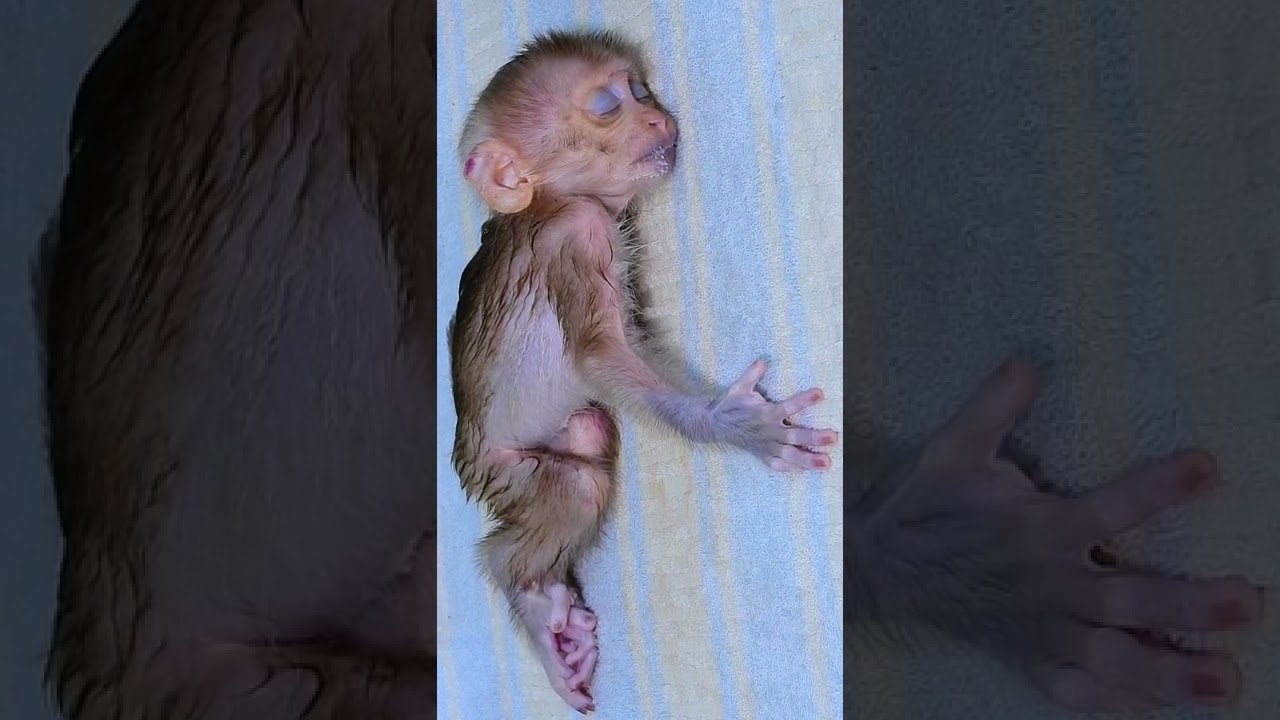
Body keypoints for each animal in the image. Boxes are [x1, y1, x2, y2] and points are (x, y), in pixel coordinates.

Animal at [445, 30, 841, 714]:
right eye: (608, 105)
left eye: (638, 89)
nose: (658, 117)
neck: (551, 201)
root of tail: (468, 452)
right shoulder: (577, 238)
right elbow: (600, 358)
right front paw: (738, 426)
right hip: (500, 465)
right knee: (572, 489)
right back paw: (528, 597)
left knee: (589, 433)